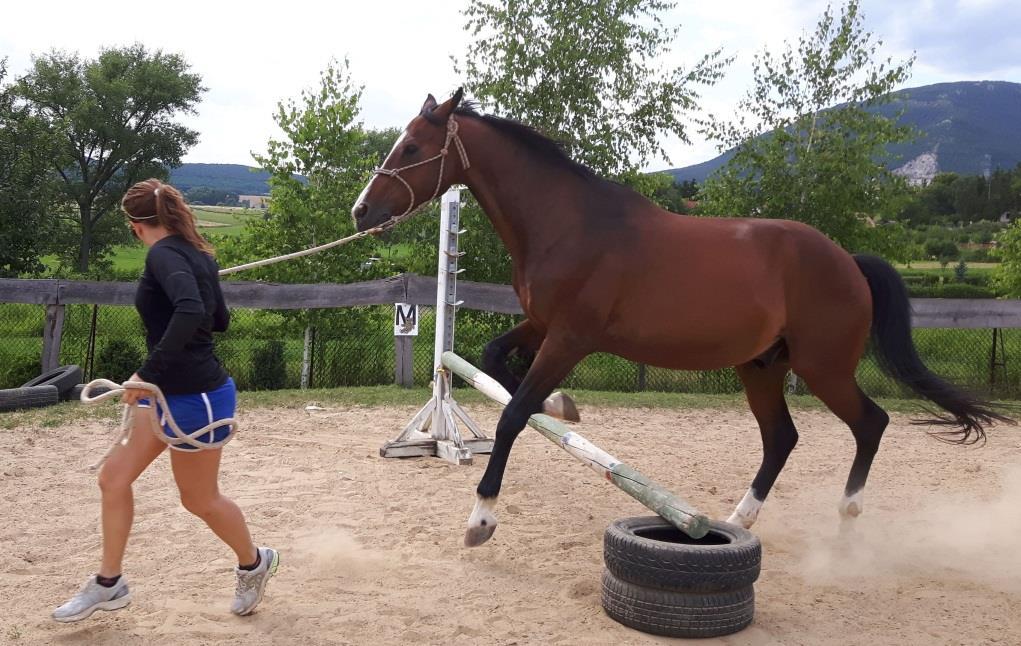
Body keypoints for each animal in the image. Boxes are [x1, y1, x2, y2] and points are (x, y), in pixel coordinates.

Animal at [351, 88, 1004, 547]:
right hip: (762, 367)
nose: (361, 212)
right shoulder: (542, 326)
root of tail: (848, 261)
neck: (570, 224)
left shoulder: (570, 338)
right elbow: (495, 364)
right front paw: (563, 407)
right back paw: (738, 519)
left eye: (412, 148)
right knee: (782, 438)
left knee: (871, 424)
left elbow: (512, 415)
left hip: (825, 368)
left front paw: (481, 519)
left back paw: (845, 518)